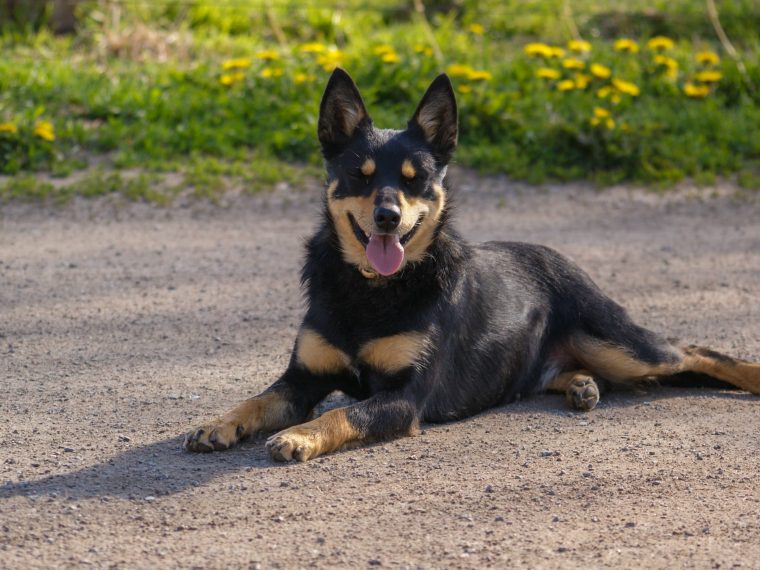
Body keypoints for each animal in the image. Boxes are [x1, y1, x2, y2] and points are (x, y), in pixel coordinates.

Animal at [184, 66, 760, 460]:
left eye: (416, 179)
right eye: (358, 175)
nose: (388, 217)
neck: (372, 290)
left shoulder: (403, 398)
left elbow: (346, 412)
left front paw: (300, 434)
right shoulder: (301, 377)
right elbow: (258, 400)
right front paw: (221, 422)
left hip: (621, 343)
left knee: (694, 351)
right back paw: (580, 385)